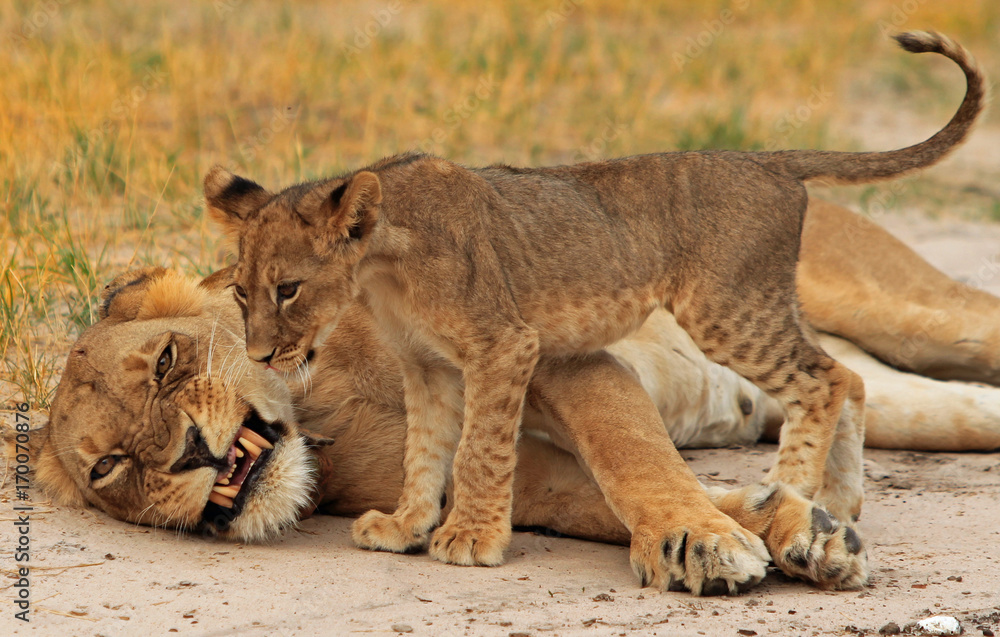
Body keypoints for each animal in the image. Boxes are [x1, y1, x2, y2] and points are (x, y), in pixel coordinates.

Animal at [21, 197, 1000, 599]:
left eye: (166, 360)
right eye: (111, 467)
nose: (188, 449)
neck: (322, 409)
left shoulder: (555, 352)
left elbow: (632, 458)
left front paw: (703, 542)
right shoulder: (508, 472)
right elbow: (612, 494)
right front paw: (796, 527)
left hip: (899, 306)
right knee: (864, 383)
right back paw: (835, 490)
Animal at [203, 30, 984, 574]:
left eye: (289, 289)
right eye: (240, 292)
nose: (260, 356)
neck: (381, 270)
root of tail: (767, 159)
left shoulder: (505, 345)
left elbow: (479, 451)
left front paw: (470, 540)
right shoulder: (427, 368)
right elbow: (425, 453)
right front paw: (404, 527)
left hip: (726, 309)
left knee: (821, 379)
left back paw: (789, 489)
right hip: (757, 306)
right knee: (846, 374)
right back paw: (834, 501)